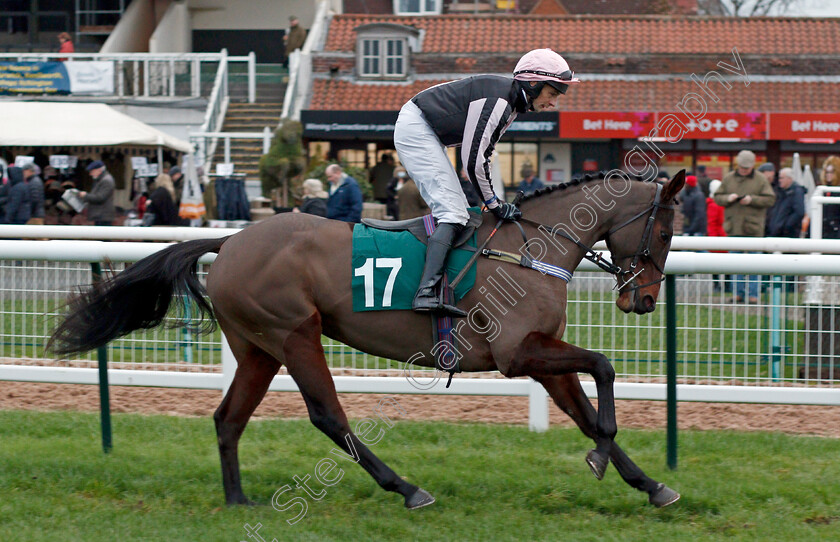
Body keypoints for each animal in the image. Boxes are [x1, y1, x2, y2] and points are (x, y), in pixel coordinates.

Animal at [49, 172, 684, 512]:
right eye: (664, 230)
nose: (644, 300)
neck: (530, 248)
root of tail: (229, 240)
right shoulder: (514, 353)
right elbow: (603, 367)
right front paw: (605, 456)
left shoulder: (541, 351)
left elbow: (585, 410)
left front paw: (650, 485)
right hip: (293, 333)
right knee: (328, 415)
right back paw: (406, 488)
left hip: (257, 348)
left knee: (228, 418)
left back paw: (237, 500)